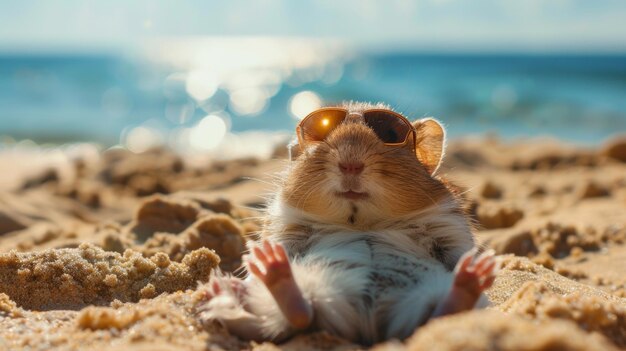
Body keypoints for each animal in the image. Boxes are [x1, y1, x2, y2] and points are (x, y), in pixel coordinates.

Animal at [197, 102, 494, 346]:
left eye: (390, 134)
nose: (350, 164)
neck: (360, 222)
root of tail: (366, 324)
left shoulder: (448, 226)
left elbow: (459, 253)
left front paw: (479, 264)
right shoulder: (286, 227)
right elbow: (278, 248)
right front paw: (259, 258)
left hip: (428, 295)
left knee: (440, 316)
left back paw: (470, 278)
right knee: (294, 317)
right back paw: (259, 273)